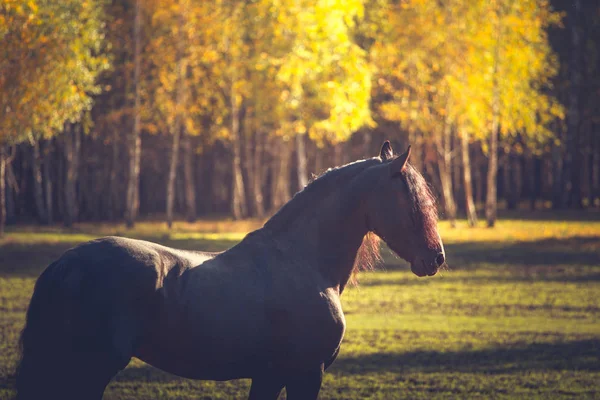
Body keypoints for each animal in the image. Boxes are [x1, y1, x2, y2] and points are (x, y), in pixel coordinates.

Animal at [15, 141, 446, 400]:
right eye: (411, 197)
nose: (436, 258)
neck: (303, 262)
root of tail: (64, 265)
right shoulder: (307, 372)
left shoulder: (270, 374)